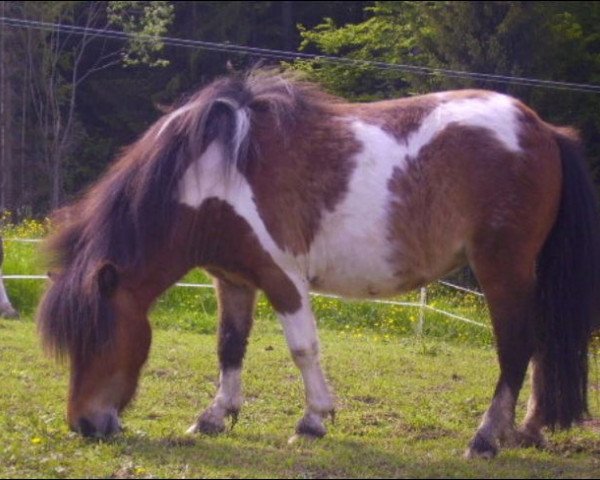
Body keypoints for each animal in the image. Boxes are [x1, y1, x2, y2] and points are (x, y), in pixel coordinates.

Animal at [37, 70, 600, 458]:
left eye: (98, 337)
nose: (84, 425)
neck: (217, 178)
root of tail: (543, 130)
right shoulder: (233, 281)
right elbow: (229, 347)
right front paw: (215, 416)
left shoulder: (282, 278)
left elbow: (303, 349)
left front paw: (312, 421)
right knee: (541, 345)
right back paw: (527, 430)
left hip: (502, 269)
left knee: (516, 347)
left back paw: (486, 438)